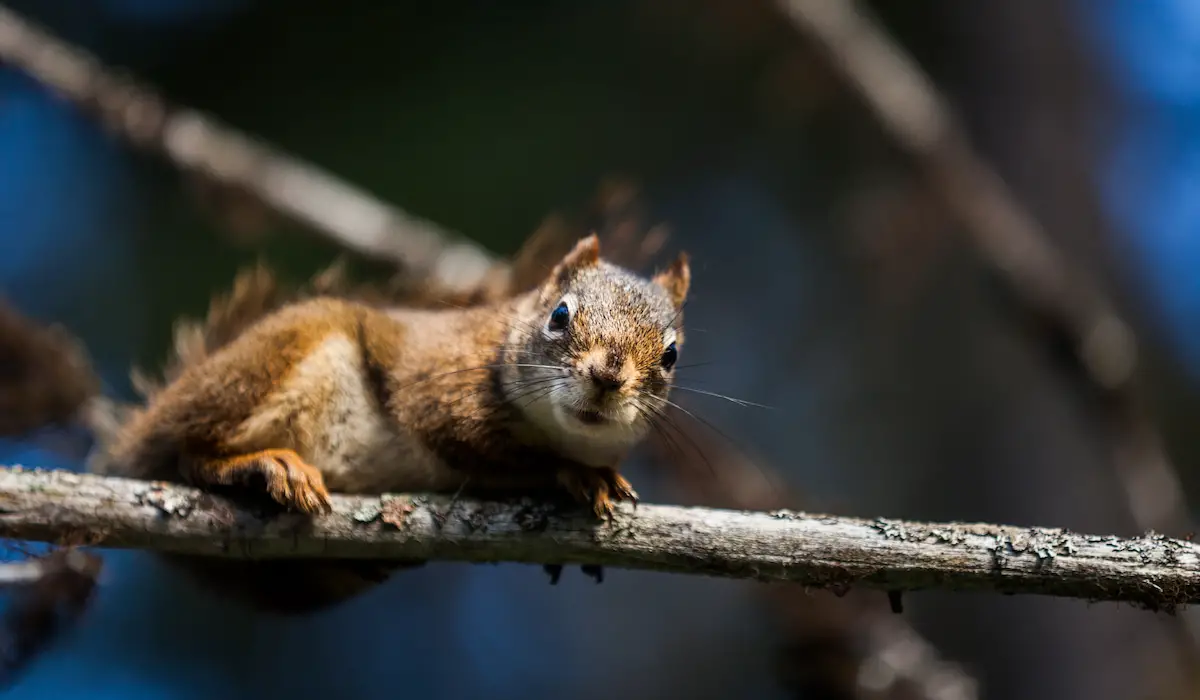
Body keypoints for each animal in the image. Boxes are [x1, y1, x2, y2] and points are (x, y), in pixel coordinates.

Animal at [91, 234, 690, 613]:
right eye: (560, 315)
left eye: (671, 354)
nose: (608, 376)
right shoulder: (442, 394)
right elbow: (488, 451)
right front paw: (577, 474)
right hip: (268, 370)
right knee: (187, 455)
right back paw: (263, 466)